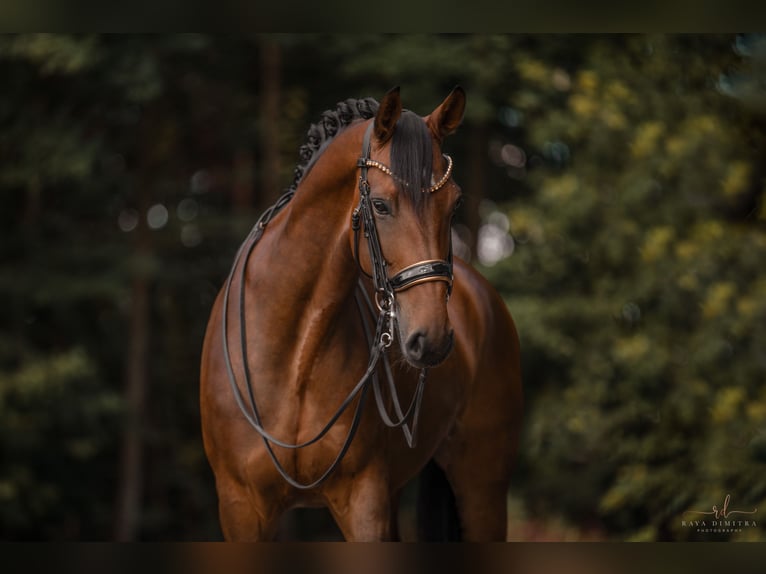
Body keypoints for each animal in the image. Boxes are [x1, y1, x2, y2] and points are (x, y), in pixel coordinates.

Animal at [198, 88, 524, 544]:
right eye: (381, 205)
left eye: (455, 203)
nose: (432, 338)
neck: (292, 355)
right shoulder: (241, 508)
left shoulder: (363, 500)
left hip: (482, 488)